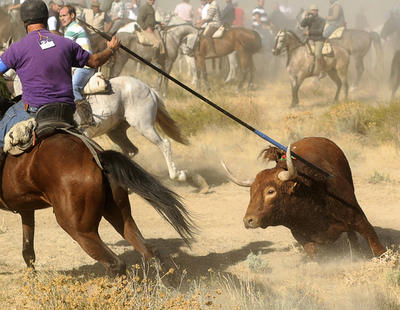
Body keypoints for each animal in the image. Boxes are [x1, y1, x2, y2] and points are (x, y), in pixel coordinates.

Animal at [1, 130, 195, 274]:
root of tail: (96, 157)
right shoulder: (26, 209)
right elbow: (28, 250)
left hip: (79, 229)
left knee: (115, 264)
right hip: (120, 214)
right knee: (148, 250)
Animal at [223, 137, 386, 258]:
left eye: (270, 191)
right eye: (251, 192)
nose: (248, 220)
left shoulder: (359, 219)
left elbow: (376, 246)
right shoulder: (299, 234)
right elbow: (315, 254)